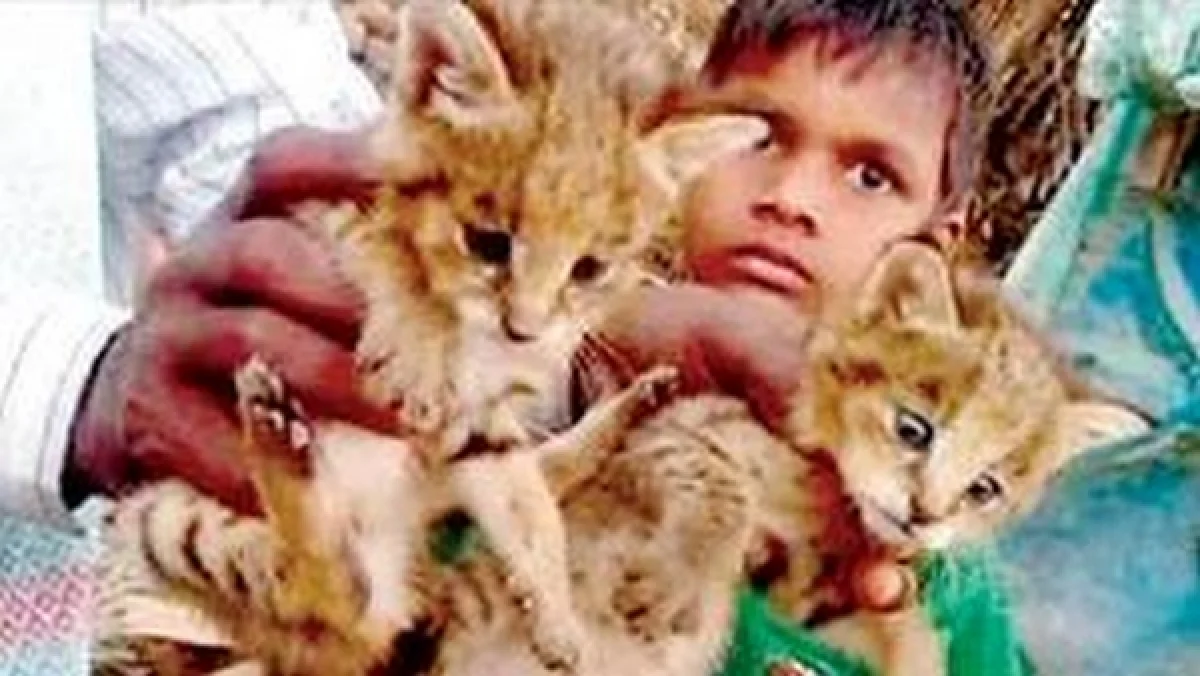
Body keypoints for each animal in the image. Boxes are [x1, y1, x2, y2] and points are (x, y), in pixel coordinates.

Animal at [94, 0, 762, 674]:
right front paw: (415, 340)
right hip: (167, 517)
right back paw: (280, 441)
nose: (524, 331)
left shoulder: (479, 422)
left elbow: (531, 512)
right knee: (323, 599)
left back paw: (633, 403)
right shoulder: (329, 210)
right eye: (488, 242)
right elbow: (391, 260)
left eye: (589, 269)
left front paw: (558, 615)